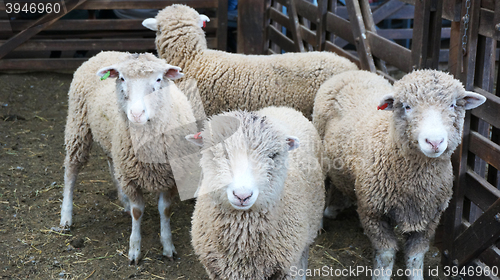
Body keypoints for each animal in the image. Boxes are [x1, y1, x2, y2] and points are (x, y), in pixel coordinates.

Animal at [58, 50, 197, 264]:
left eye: (158, 79)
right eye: (122, 78)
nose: (137, 114)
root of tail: (104, 52)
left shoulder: (172, 176)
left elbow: (165, 209)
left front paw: (168, 246)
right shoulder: (131, 178)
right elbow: (137, 211)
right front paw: (134, 251)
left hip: (112, 144)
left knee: (111, 166)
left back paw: (122, 201)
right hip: (77, 126)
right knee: (71, 172)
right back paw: (66, 217)